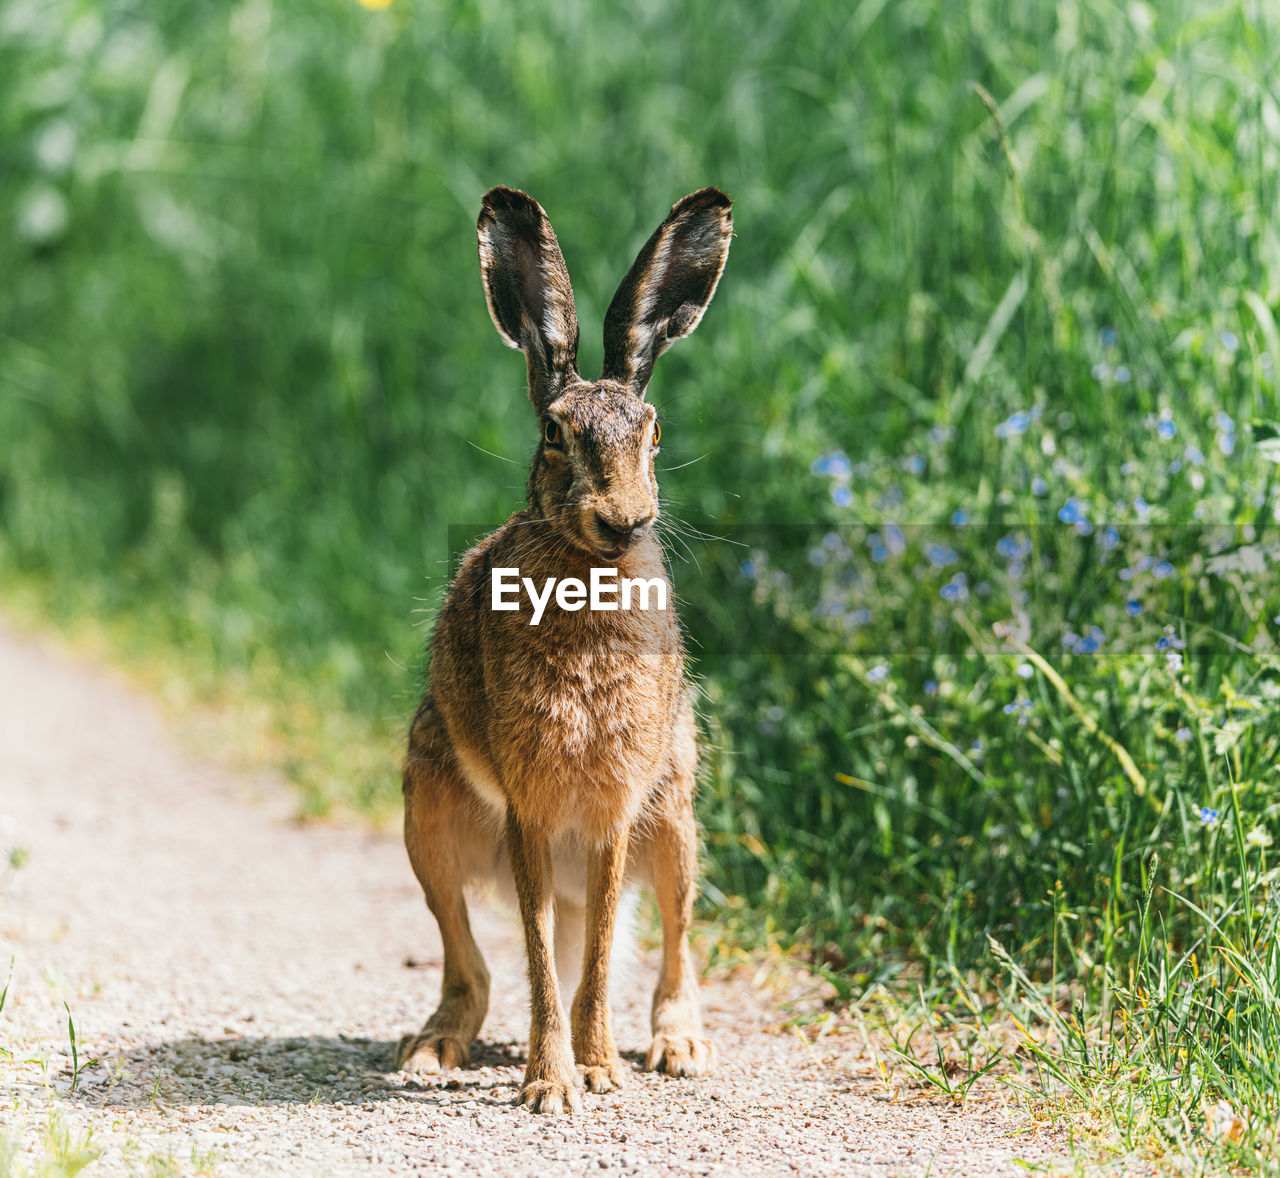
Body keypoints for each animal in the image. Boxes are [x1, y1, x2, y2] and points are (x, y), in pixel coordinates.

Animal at [399, 184, 737, 1111]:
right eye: (554, 433)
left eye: (653, 433)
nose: (626, 520)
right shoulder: (528, 804)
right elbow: (543, 955)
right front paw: (552, 1086)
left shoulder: (617, 807)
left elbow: (597, 952)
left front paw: (596, 1070)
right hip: (427, 815)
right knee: (470, 958)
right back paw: (430, 1052)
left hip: (677, 822)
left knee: (669, 940)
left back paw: (678, 1048)